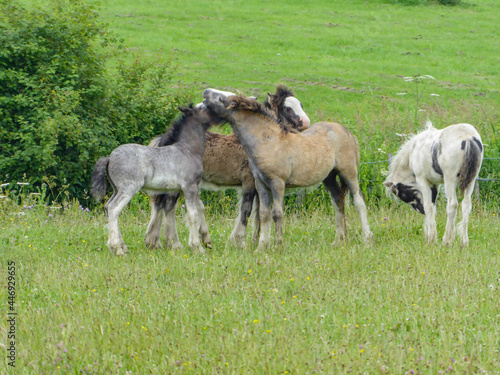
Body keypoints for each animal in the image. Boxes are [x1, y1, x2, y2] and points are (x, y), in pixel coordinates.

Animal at [90, 104, 223, 258]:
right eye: (206, 107)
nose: (222, 117)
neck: (187, 151)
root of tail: (109, 157)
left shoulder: (180, 189)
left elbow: (184, 210)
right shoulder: (190, 187)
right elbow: (192, 214)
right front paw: (197, 247)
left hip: (116, 189)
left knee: (107, 207)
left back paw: (119, 247)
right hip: (128, 189)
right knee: (113, 209)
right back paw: (117, 249)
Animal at [144, 85, 312, 250]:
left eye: (301, 104)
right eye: (287, 108)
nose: (305, 122)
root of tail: (164, 138)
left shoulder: (261, 184)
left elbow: (259, 212)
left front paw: (255, 241)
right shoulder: (249, 182)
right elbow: (246, 209)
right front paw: (239, 241)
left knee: (164, 205)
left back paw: (157, 241)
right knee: (168, 205)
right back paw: (172, 242)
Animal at [204, 89, 376, 251]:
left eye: (222, 98)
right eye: (287, 108)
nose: (205, 92)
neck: (268, 141)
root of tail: (346, 130)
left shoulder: (277, 183)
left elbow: (276, 213)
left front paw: (277, 245)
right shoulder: (261, 184)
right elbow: (263, 215)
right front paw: (260, 247)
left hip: (348, 172)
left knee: (359, 201)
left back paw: (367, 239)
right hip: (329, 177)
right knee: (338, 201)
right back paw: (339, 241)